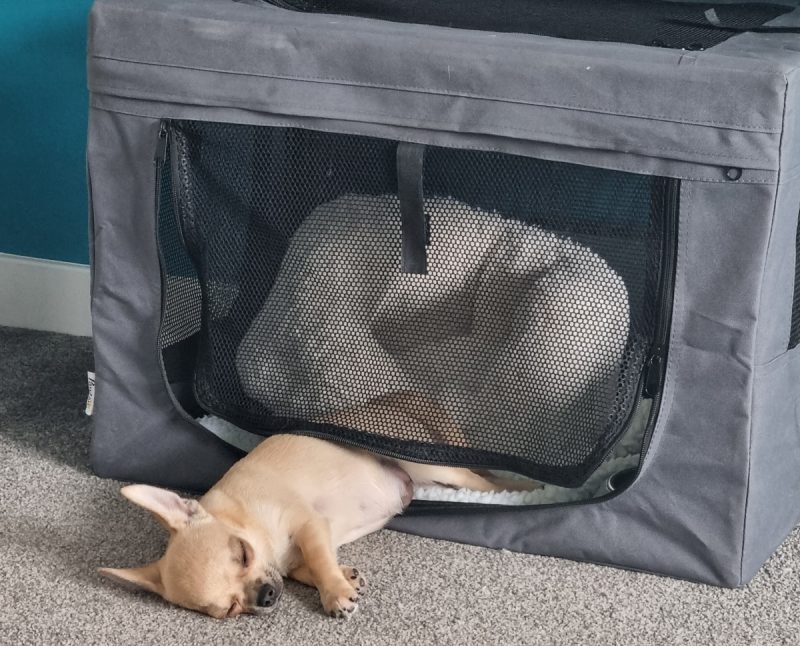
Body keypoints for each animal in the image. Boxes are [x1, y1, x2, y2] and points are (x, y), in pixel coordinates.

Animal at [101, 392, 536, 620]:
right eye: (230, 609)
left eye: (242, 554)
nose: (265, 596)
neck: (247, 513)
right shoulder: (294, 558)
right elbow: (306, 567)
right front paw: (346, 577)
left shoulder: (308, 524)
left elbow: (318, 558)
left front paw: (334, 591)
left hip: (428, 465)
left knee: (483, 480)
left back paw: (524, 488)